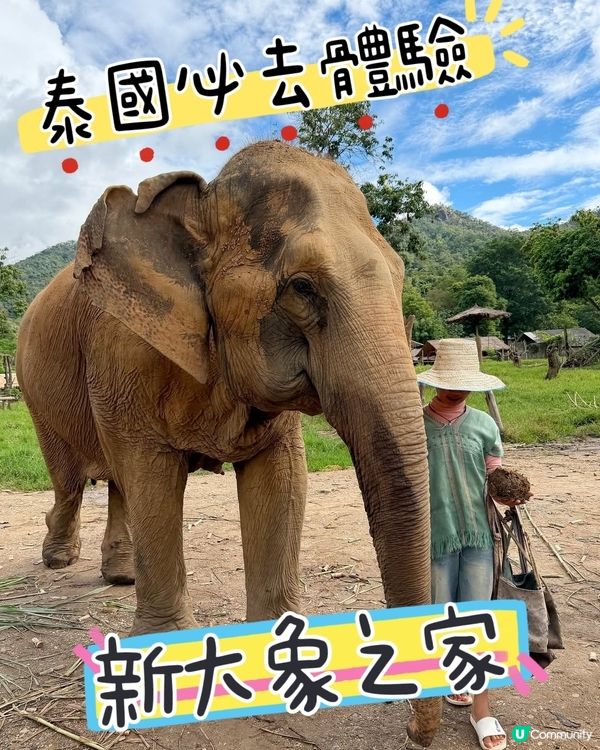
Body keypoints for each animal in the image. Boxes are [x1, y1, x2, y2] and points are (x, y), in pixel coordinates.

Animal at [16, 141, 440, 745]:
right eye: (303, 287)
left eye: (402, 275)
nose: (413, 733)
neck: (202, 200)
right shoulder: (126, 348)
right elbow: (152, 477)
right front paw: (163, 665)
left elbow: (282, 480)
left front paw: (279, 668)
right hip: (37, 390)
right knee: (72, 478)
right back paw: (58, 559)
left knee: (115, 480)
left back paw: (120, 575)